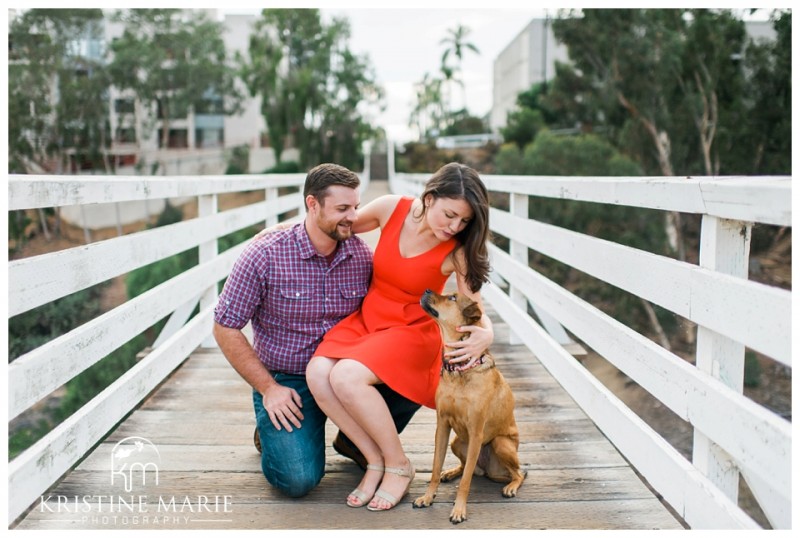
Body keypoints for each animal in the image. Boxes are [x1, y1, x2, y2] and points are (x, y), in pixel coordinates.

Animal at [412, 286, 524, 520]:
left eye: (453, 297)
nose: (426, 290)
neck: (459, 368)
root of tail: (487, 469)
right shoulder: (442, 426)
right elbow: (435, 467)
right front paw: (427, 497)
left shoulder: (476, 432)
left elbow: (465, 483)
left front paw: (458, 510)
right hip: (457, 442)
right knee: (467, 467)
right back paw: (451, 472)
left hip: (501, 444)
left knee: (518, 473)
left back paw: (511, 487)